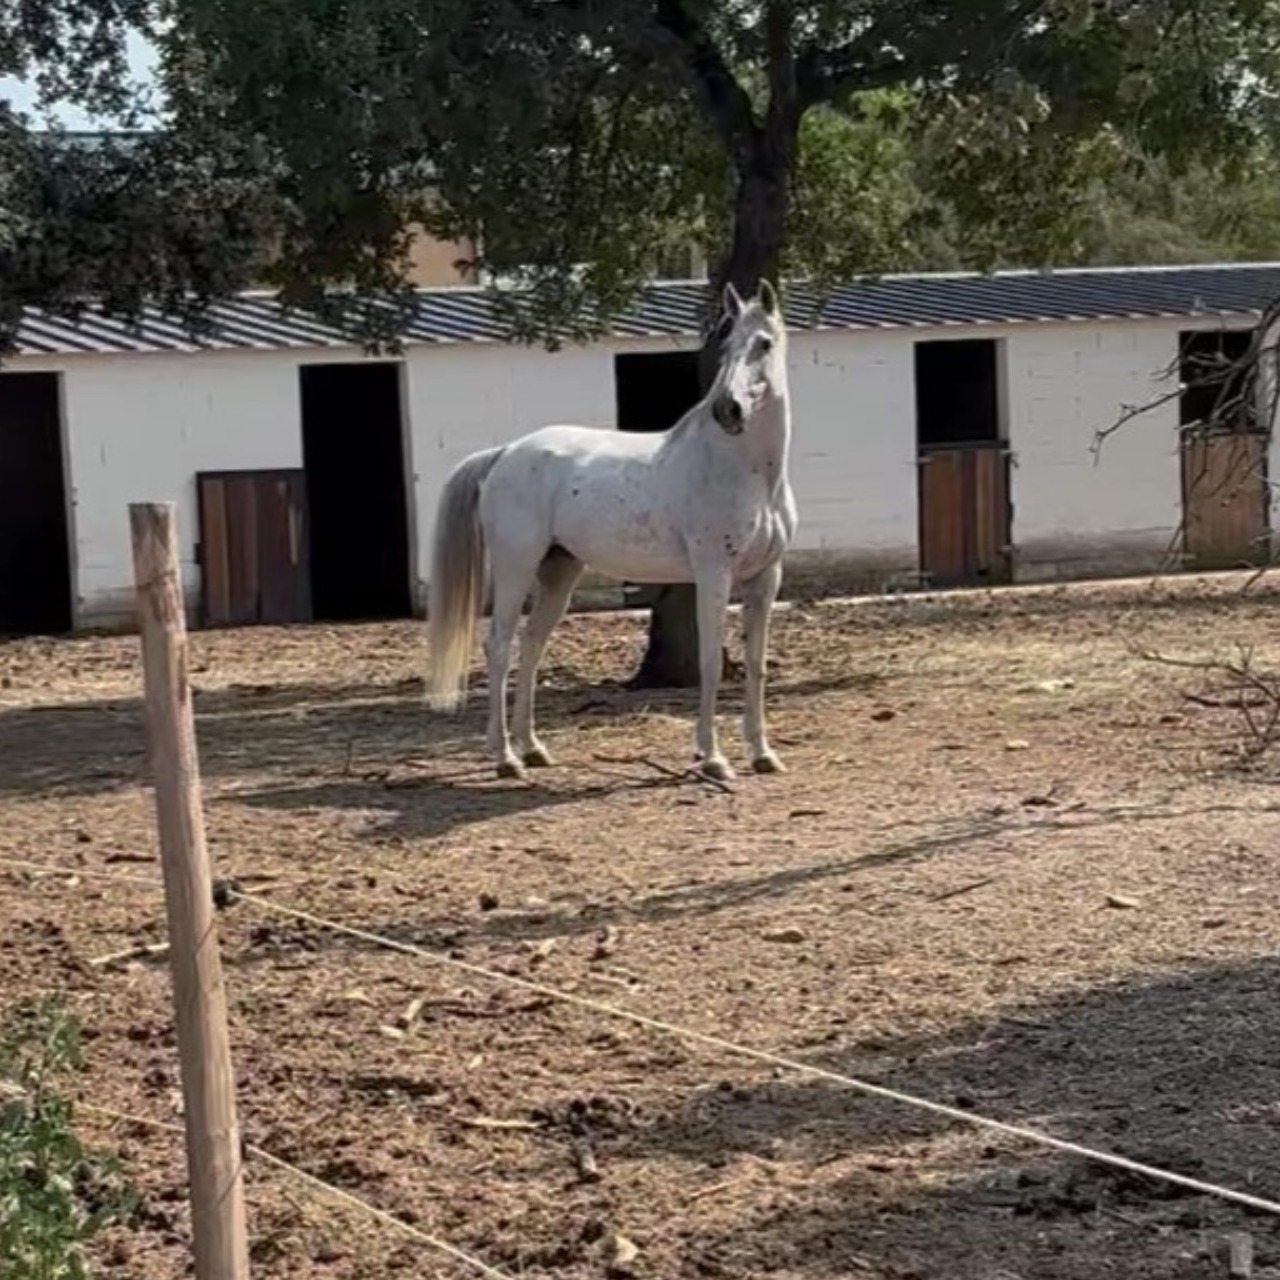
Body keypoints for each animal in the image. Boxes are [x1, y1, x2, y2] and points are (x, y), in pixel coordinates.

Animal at [424, 280, 793, 778]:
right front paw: (712, 758)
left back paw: (533, 748)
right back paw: (505, 759)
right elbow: (711, 664)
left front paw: (762, 754)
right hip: (516, 566)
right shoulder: (714, 575)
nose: (728, 410)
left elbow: (756, 666)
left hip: (559, 571)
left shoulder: (765, 578)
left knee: (532, 646)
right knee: (499, 646)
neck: (749, 475)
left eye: (764, 344)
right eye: (724, 343)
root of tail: (505, 453)